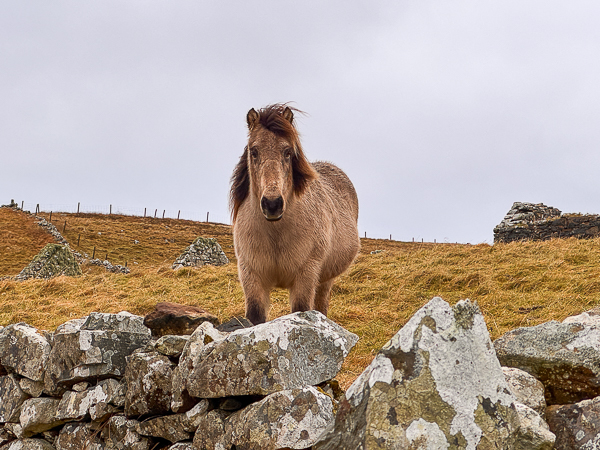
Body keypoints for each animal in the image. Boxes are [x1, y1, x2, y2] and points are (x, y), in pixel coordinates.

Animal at [230, 105, 358, 324]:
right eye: (253, 151)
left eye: (288, 152)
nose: (272, 204)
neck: (276, 232)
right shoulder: (251, 276)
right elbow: (255, 317)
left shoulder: (306, 275)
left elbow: (302, 310)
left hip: (325, 280)